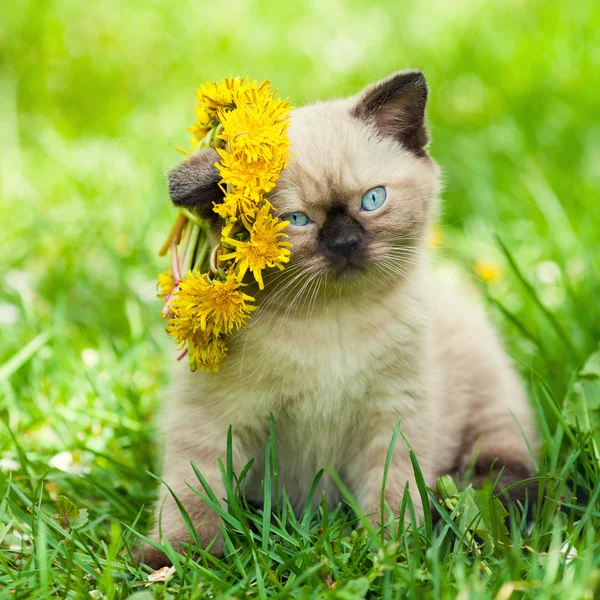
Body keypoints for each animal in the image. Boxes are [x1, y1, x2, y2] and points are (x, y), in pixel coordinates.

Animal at [138, 70, 536, 568]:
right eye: (296, 220)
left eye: (373, 199)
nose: (345, 243)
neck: (331, 320)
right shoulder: (214, 420)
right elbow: (192, 496)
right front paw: (174, 564)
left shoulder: (394, 417)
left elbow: (392, 492)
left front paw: (392, 555)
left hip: (492, 402)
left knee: (506, 467)